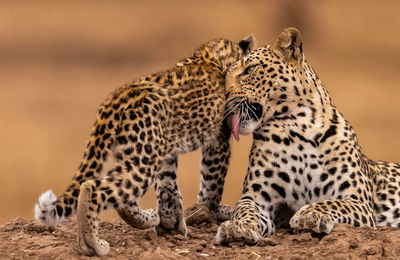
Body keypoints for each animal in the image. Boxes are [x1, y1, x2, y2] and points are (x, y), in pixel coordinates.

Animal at [33, 35, 253, 256]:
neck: (211, 57)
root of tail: (119, 96)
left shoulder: (167, 149)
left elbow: (168, 186)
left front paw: (170, 222)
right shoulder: (218, 141)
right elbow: (212, 183)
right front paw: (213, 211)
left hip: (139, 153)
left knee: (122, 196)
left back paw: (147, 219)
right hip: (143, 159)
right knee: (93, 188)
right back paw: (93, 245)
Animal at [217, 27, 400, 243]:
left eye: (250, 69)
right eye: (224, 76)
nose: (222, 97)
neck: (296, 129)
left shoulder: (358, 201)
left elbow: (331, 203)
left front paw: (310, 214)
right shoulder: (256, 198)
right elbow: (244, 210)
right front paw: (237, 227)